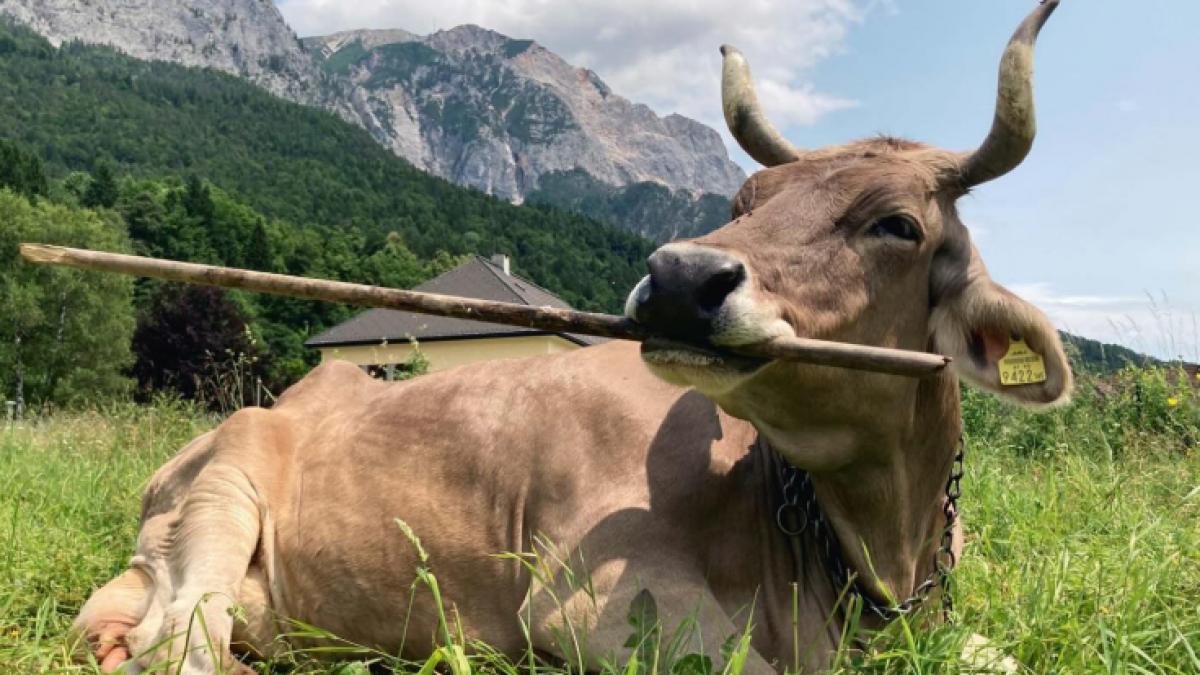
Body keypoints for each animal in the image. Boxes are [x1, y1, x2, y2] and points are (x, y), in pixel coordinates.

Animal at [72, 2, 1071, 673]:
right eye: (745, 199)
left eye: (897, 224)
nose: (679, 278)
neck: (878, 553)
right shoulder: (595, 606)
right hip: (224, 492)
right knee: (179, 642)